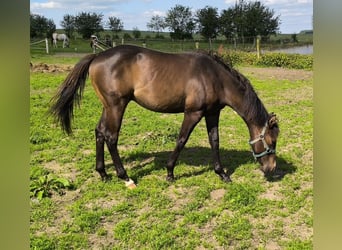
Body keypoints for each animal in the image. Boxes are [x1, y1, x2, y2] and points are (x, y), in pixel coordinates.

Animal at [50, 44, 278, 187]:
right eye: (271, 141)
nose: (272, 168)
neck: (214, 77)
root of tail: (97, 57)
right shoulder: (193, 113)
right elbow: (181, 140)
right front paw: (169, 173)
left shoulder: (212, 113)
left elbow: (214, 141)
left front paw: (221, 173)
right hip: (116, 106)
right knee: (111, 137)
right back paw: (125, 177)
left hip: (108, 107)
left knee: (99, 132)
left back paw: (103, 173)